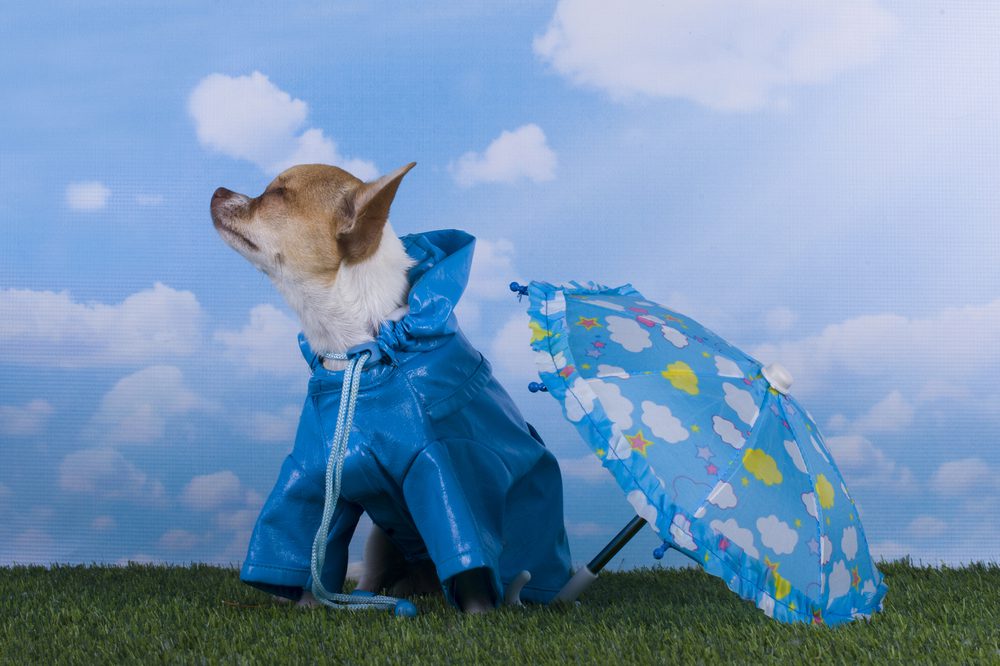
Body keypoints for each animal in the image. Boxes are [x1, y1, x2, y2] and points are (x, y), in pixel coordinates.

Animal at [211, 162, 572, 612]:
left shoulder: (445, 467)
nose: (218, 189)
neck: (360, 350)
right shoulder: (316, 473)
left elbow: (470, 562)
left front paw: (478, 613)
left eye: (277, 194)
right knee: (375, 574)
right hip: (380, 541)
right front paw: (308, 606)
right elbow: (313, 548)